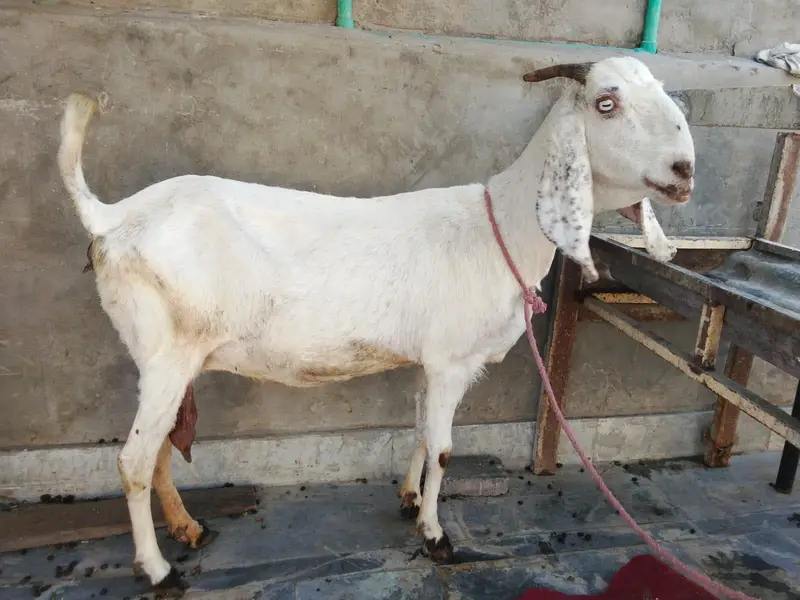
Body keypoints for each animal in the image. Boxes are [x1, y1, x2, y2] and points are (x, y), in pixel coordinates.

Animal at [57, 56, 694, 593]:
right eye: (605, 103)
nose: (684, 170)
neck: (501, 230)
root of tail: (111, 216)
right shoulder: (451, 360)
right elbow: (443, 448)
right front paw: (436, 536)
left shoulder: (428, 361)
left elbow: (420, 431)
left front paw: (410, 499)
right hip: (166, 355)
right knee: (133, 461)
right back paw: (157, 570)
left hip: (169, 358)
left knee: (160, 449)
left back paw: (187, 529)